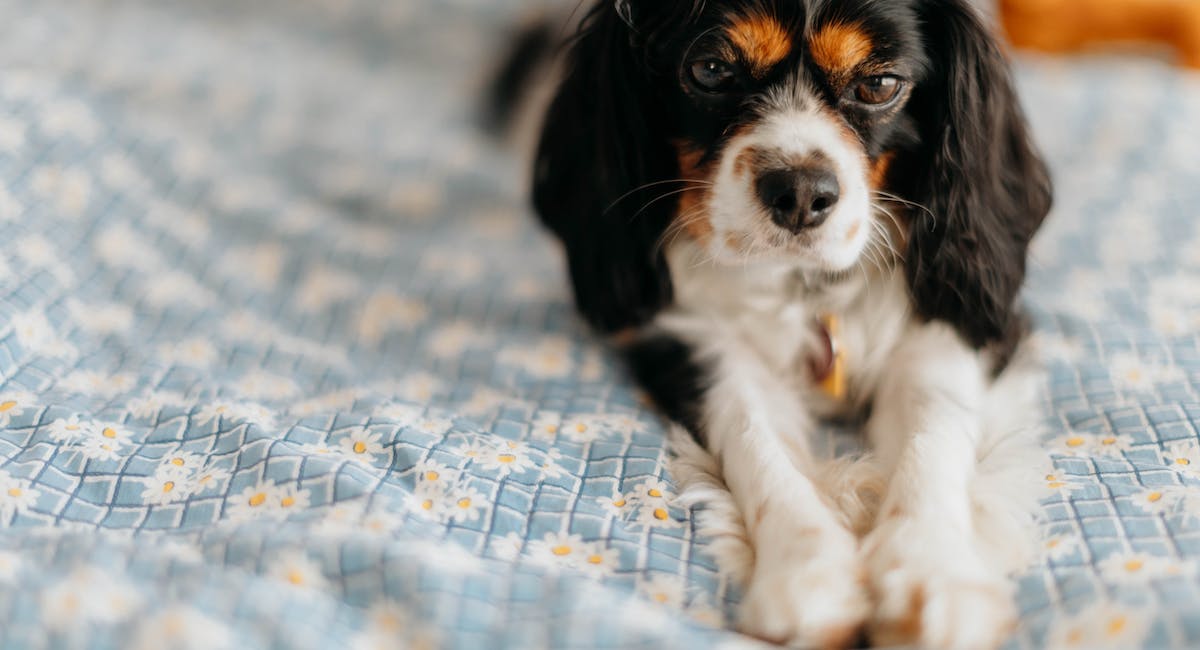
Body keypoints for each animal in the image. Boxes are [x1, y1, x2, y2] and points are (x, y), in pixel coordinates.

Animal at [492, 2, 1056, 647]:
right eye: (711, 70)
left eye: (880, 84)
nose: (801, 192)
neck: (805, 287)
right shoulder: (689, 341)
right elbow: (755, 440)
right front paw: (806, 575)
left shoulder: (952, 323)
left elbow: (932, 434)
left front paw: (934, 578)